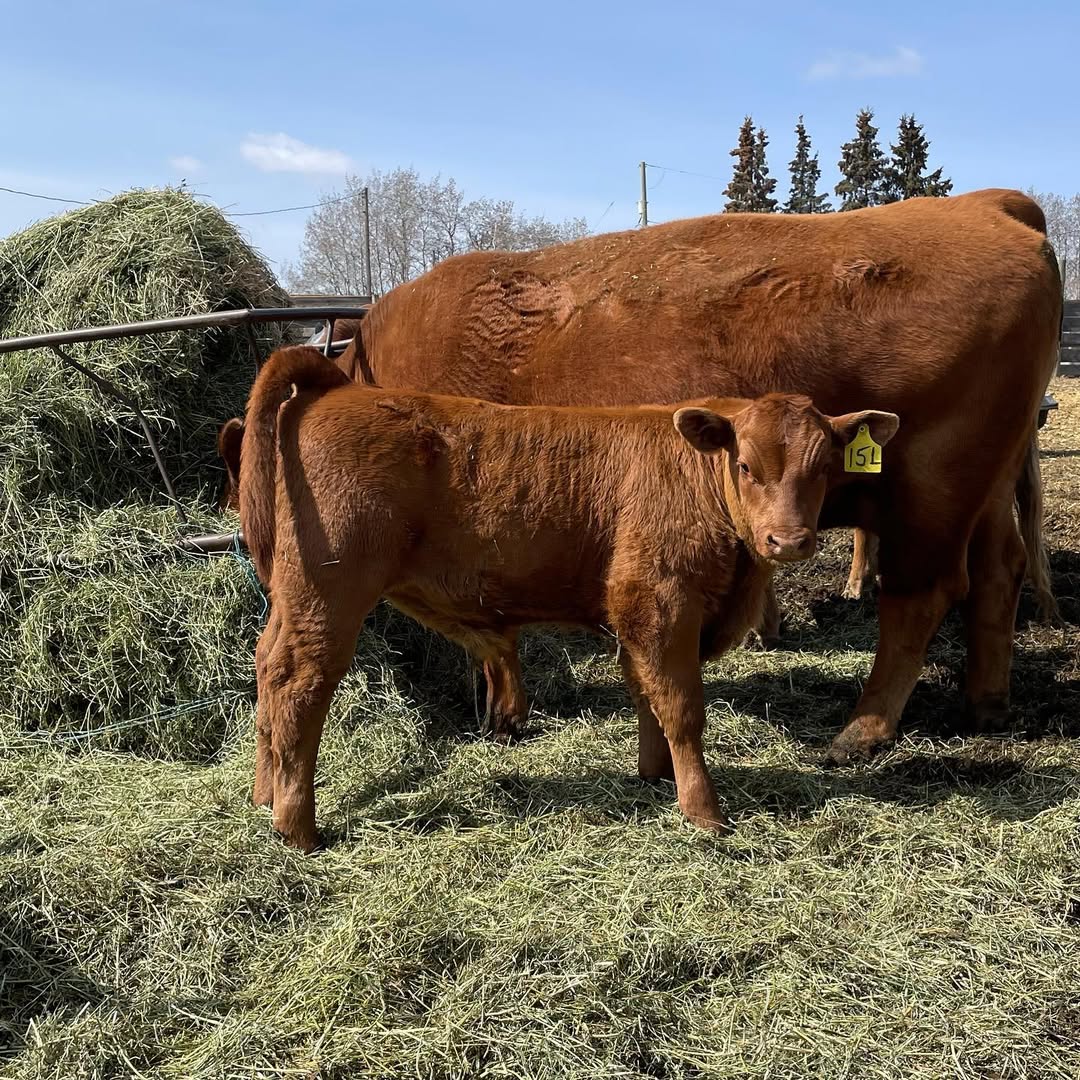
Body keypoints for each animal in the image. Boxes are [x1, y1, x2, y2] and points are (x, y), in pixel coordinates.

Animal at [238, 344, 899, 851]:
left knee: (266, 666)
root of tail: (339, 389)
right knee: (299, 683)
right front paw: (705, 812)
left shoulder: (637, 621)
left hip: (294, 598)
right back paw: (297, 827)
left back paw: (262, 796)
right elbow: (682, 707)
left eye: (824, 467)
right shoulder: (660, 606)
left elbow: (646, 696)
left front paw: (654, 776)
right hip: (330, 592)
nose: (788, 540)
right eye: (744, 465)